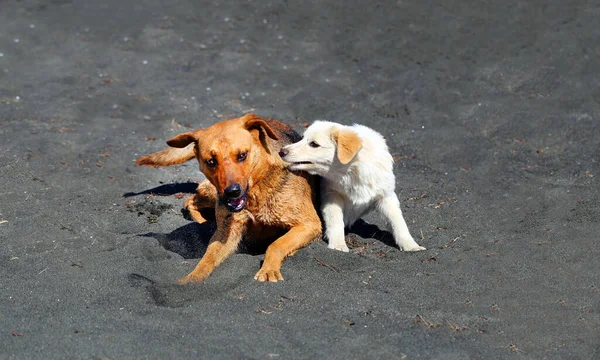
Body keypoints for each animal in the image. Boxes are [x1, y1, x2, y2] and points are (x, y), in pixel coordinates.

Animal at [137, 114, 324, 282]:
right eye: (211, 161)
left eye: (242, 155)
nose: (232, 192)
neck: (256, 193)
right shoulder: (226, 233)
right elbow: (206, 260)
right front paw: (190, 281)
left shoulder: (309, 224)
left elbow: (276, 245)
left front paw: (269, 269)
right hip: (213, 193)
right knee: (192, 200)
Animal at [278, 121, 424, 253]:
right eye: (302, 139)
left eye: (314, 144)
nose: (281, 151)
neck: (350, 173)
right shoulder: (331, 195)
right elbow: (335, 220)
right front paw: (338, 245)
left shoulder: (386, 196)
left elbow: (398, 221)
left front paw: (411, 245)